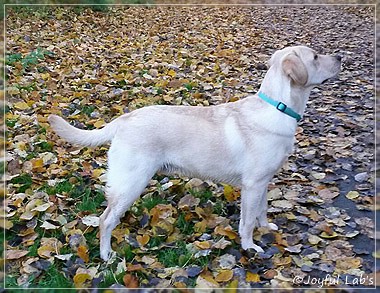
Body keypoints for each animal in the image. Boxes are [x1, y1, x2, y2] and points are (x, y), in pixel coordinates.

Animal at [48, 44, 342, 258]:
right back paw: (106, 254)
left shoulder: (263, 182)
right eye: (316, 57)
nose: (340, 57)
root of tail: (123, 119)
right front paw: (249, 246)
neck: (279, 107)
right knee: (105, 219)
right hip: (132, 182)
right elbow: (247, 220)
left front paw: (266, 227)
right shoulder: (253, 184)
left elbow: (262, 210)